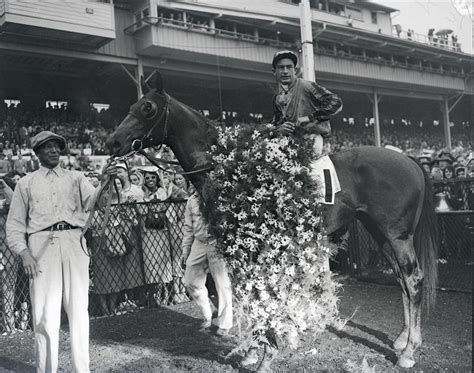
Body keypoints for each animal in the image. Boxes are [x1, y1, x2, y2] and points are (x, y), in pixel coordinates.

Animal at [105, 70, 438, 370]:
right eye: (132, 105)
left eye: (147, 108)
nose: (112, 143)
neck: (230, 166)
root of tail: (410, 159)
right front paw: (254, 351)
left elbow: (260, 296)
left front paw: (267, 354)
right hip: (380, 233)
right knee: (402, 280)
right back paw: (402, 339)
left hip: (397, 236)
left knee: (414, 279)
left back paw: (409, 352)